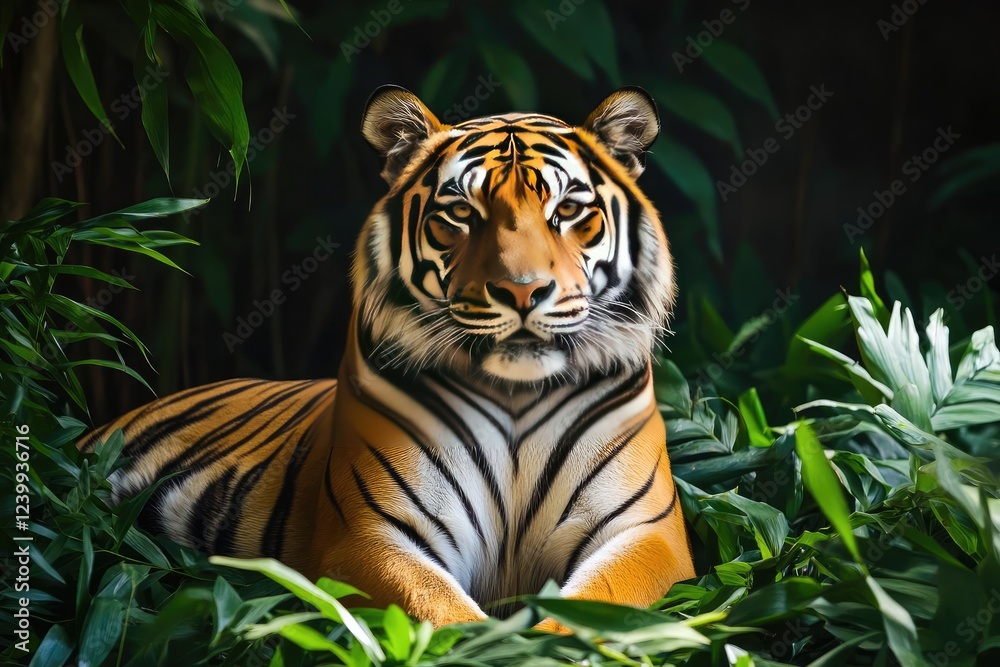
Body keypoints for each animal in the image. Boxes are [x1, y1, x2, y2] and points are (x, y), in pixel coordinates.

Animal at [79, 85, 695, 630]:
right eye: (462, 214)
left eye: (567, 210)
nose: (522, 292)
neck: (516, 391)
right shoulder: (371, 535)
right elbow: (446, 619)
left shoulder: (645, 534)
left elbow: (595, 612)